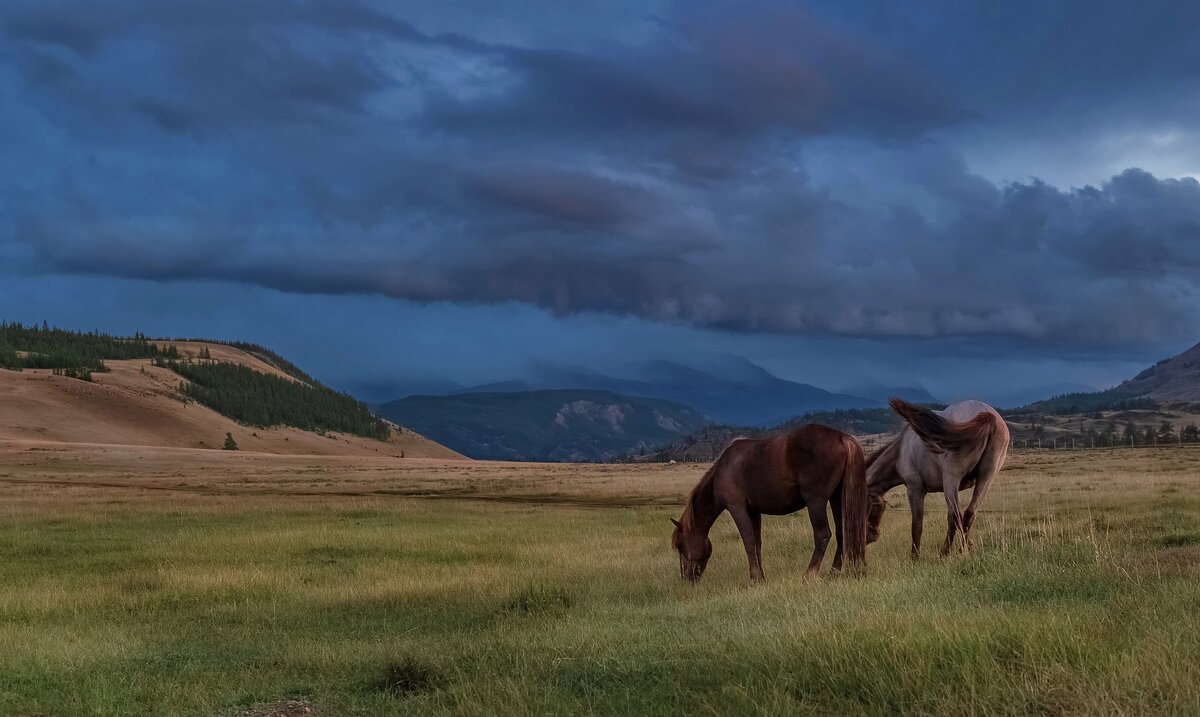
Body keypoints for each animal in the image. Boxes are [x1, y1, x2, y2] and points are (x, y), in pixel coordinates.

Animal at [672, 426, 868, 585]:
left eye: (680, 546)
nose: (686, 578)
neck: (725, 468)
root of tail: (841, 437)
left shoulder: (737, 508)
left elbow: (748, 542)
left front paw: (755, 578)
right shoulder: (753, 512)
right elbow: (757, 544)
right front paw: (762, 577)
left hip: (816, 502)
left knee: (823, 535)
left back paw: (809, 574)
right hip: (836, 498)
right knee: (842, 533)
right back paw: (833, 573)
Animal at [868, 398, 1008, 561]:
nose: (872, 536)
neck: (900, 452)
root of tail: (987, 415)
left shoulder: (915, 489)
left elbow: (917, 524)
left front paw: (915, 557)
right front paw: (970, 545)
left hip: (951, 480)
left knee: (955, 516)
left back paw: (946, 552)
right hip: (985, 478)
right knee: (969, 514)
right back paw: (961, 549)